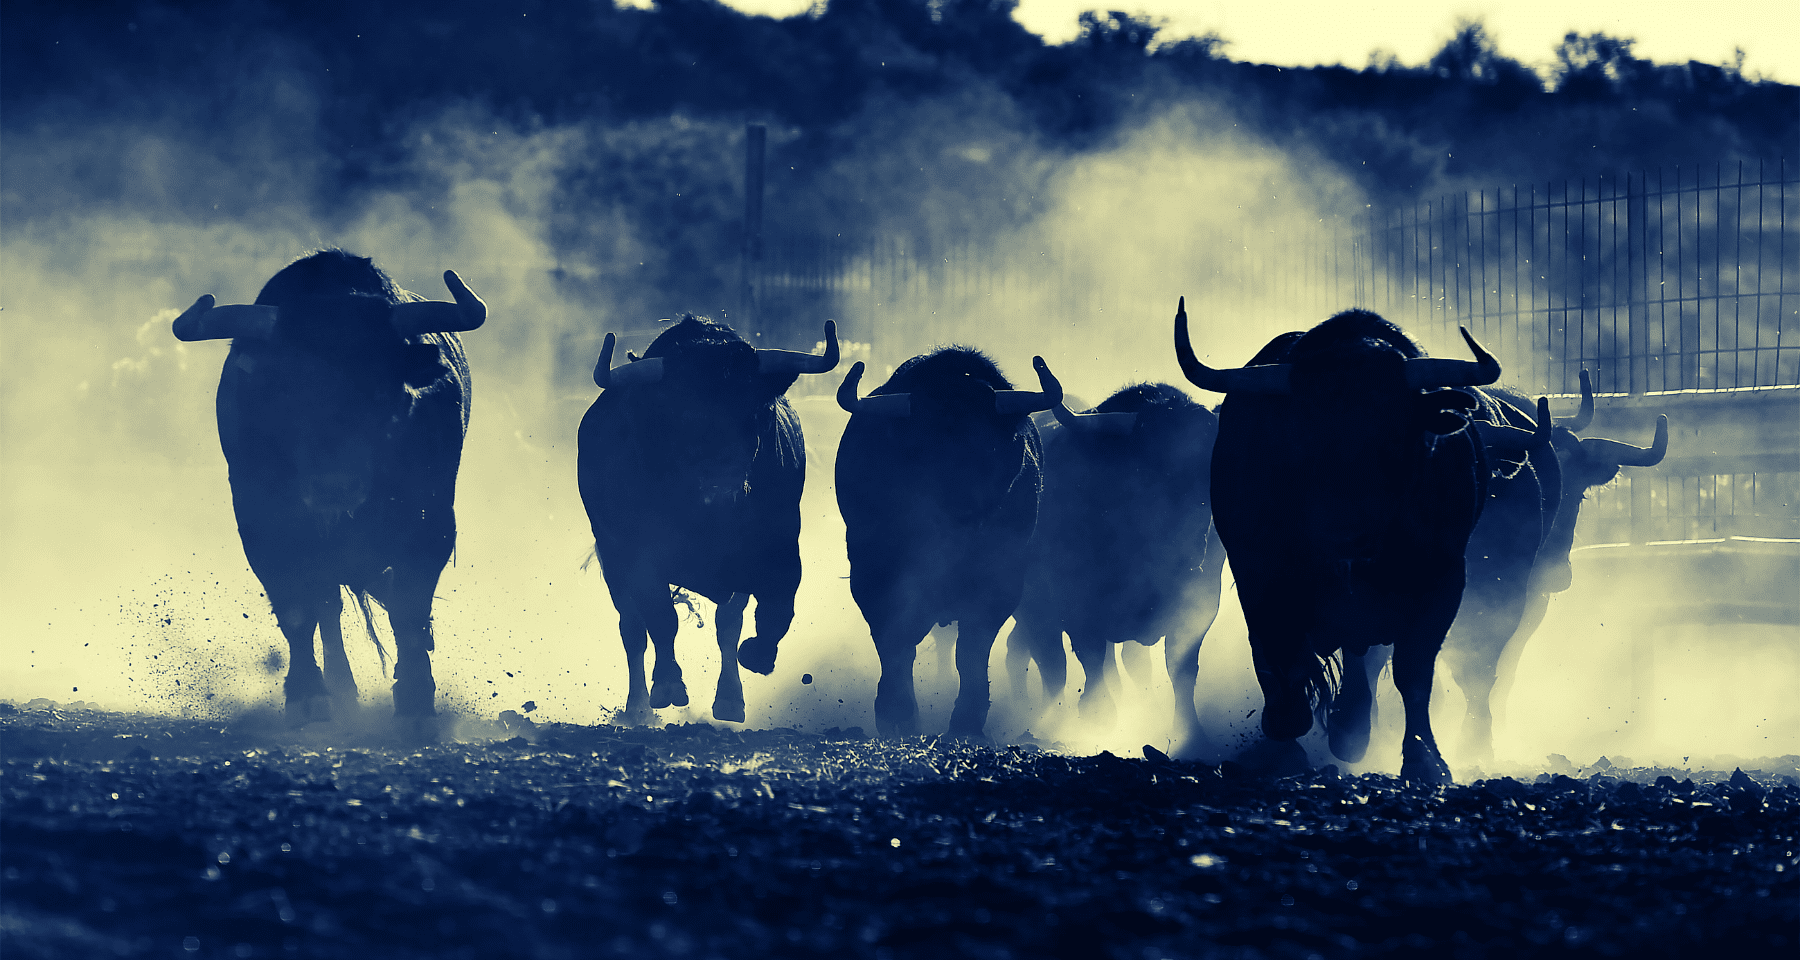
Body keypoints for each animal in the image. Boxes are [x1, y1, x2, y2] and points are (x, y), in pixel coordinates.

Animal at [171, 249, 486, 737]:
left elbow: (409, 608)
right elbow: (297, 610)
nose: (332, 486)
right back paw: (342, 689)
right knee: (326, 607)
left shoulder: (432, 524)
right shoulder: (263, 527)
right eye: (285, 391)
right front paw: (307, 696)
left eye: (381, 388)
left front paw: (415, 700)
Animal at [577, 314, 838, 725]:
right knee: (633, 629)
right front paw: (668, 685)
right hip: (613, 562)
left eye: (757, 410)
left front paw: (752, 664)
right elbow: (661, 618)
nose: (722, 485)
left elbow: (770, 611)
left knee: (723, 626)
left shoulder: (778, 548)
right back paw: (637, 707)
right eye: (680, 414)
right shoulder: (638, 556)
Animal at [835, 348, 1063, 737]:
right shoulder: (873, 574)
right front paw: (896, 713)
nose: (961, 507)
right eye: (921, 446)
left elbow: (971, 651)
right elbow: (895, 641)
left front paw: (967, 720)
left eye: (990, 445)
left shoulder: (1000, 583)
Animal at [1001, 384, 1228, 757]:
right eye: (1152, 470)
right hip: (1034, 611)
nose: (1193, 549)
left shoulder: (1200, 604)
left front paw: (1193, 737)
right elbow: (1090, 664)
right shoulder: (1077, 608)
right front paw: (1097, 719)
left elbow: (1181, 669)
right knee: (1049, 665)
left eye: (1210, 472)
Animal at [1175, 299, 1547, 784]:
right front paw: (1284, 731)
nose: (1347, 534)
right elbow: (1282, 655)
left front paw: (1424, 760)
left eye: (1395, 432)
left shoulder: (1443, 580)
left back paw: (1352, 730)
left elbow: (1413, 673)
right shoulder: (1258, 573)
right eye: (1303, 435)